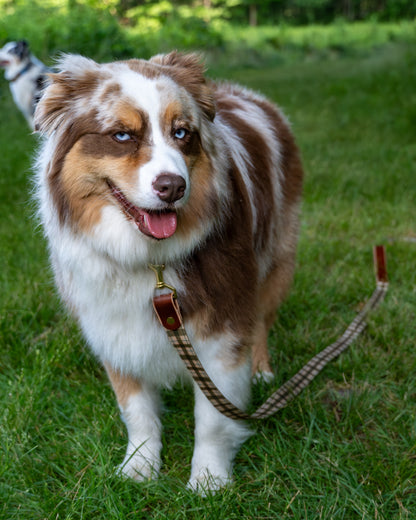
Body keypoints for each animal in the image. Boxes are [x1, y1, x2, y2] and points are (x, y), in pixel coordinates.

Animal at [33, 51, 302, 492]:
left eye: (182, 133)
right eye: (121, 136)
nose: (173, 186)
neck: (150, 259)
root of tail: (240, 92)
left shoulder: (223, 328)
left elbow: (213, 418)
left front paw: (208, 481)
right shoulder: (113, 326)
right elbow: (136, 411)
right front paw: (139, 468)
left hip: (277, 257)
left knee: (262, 318)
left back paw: (262, 370)